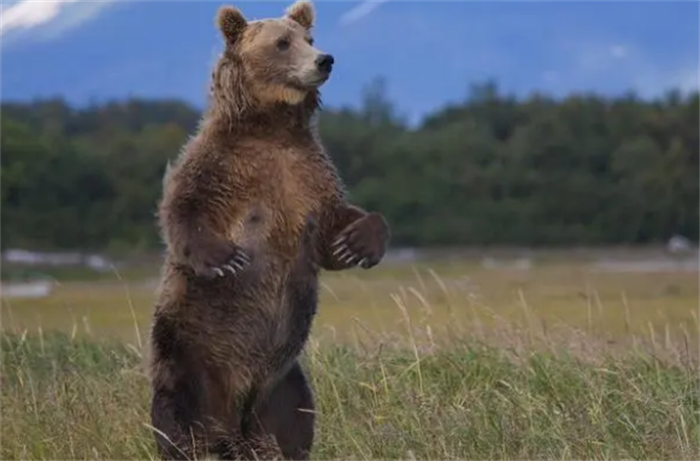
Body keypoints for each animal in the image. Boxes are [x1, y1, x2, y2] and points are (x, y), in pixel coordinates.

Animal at [147, 0, 392, 460]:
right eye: (282, 43)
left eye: (309, 38)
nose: (324, 60)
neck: (272, 126)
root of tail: (234, 419)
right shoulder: (221, 166)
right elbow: (184, 208)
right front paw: (225, 257)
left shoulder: (309, 178)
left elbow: (334, 228)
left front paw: (357, 243)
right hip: (190, 359)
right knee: (181, 423)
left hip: (283, 384)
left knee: (293, 424)